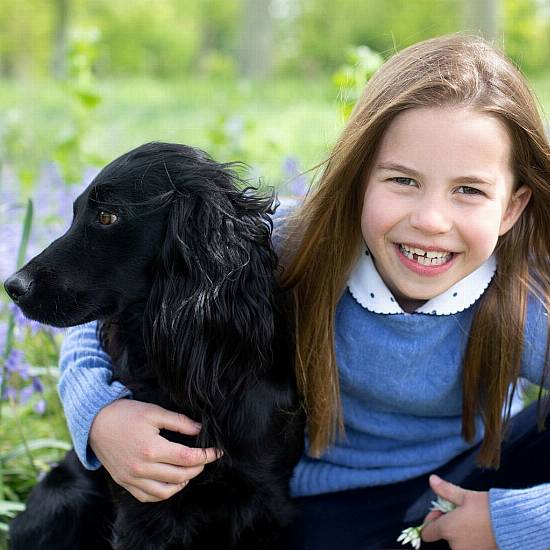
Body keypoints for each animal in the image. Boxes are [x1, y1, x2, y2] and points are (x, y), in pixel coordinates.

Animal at [4, 143, 306, 550]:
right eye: (76, 211)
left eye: (106, 216)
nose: (12, 286)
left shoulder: (266, 502)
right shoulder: (144, 504)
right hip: (65, 497)